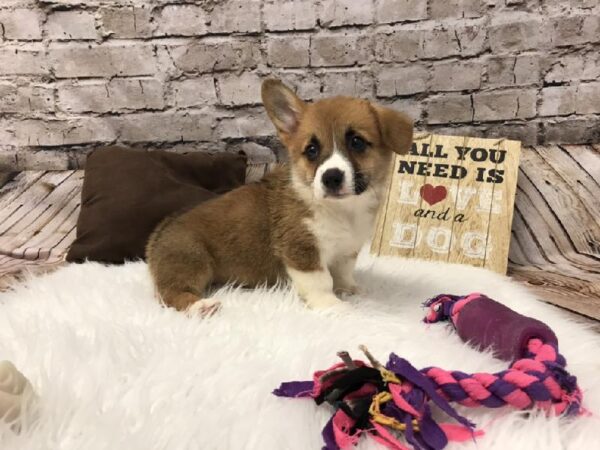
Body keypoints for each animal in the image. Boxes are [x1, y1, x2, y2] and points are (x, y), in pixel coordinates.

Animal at [148, 78, 414, 316]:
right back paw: (201, 307)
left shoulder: (346, 251)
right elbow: (321, 282)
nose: (331, 177)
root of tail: (159, 233)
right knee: (169, 294)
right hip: (191, 259)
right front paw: (332, 306)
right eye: (311, 150)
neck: (342, 210)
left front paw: (351, 290)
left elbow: (343, 273)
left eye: (357, 142)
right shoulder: (303, 251)